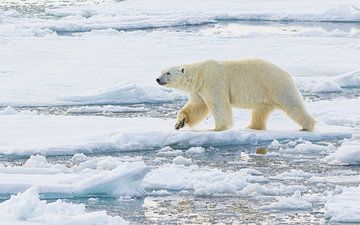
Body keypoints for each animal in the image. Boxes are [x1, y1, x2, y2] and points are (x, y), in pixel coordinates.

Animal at [155, 59, 316, 132]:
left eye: (168, 73)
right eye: (161, 71)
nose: (157, 79)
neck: (200, 75)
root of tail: (286, 73)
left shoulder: (214, 82)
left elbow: (219, 105)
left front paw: (218, 128)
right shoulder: (198, 91)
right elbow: (196, 107)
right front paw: (179, 123)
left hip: (275, 85)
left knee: (293, 105)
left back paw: (307, 126)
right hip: (265, 95)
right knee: (260, 111)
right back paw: (252, 127)